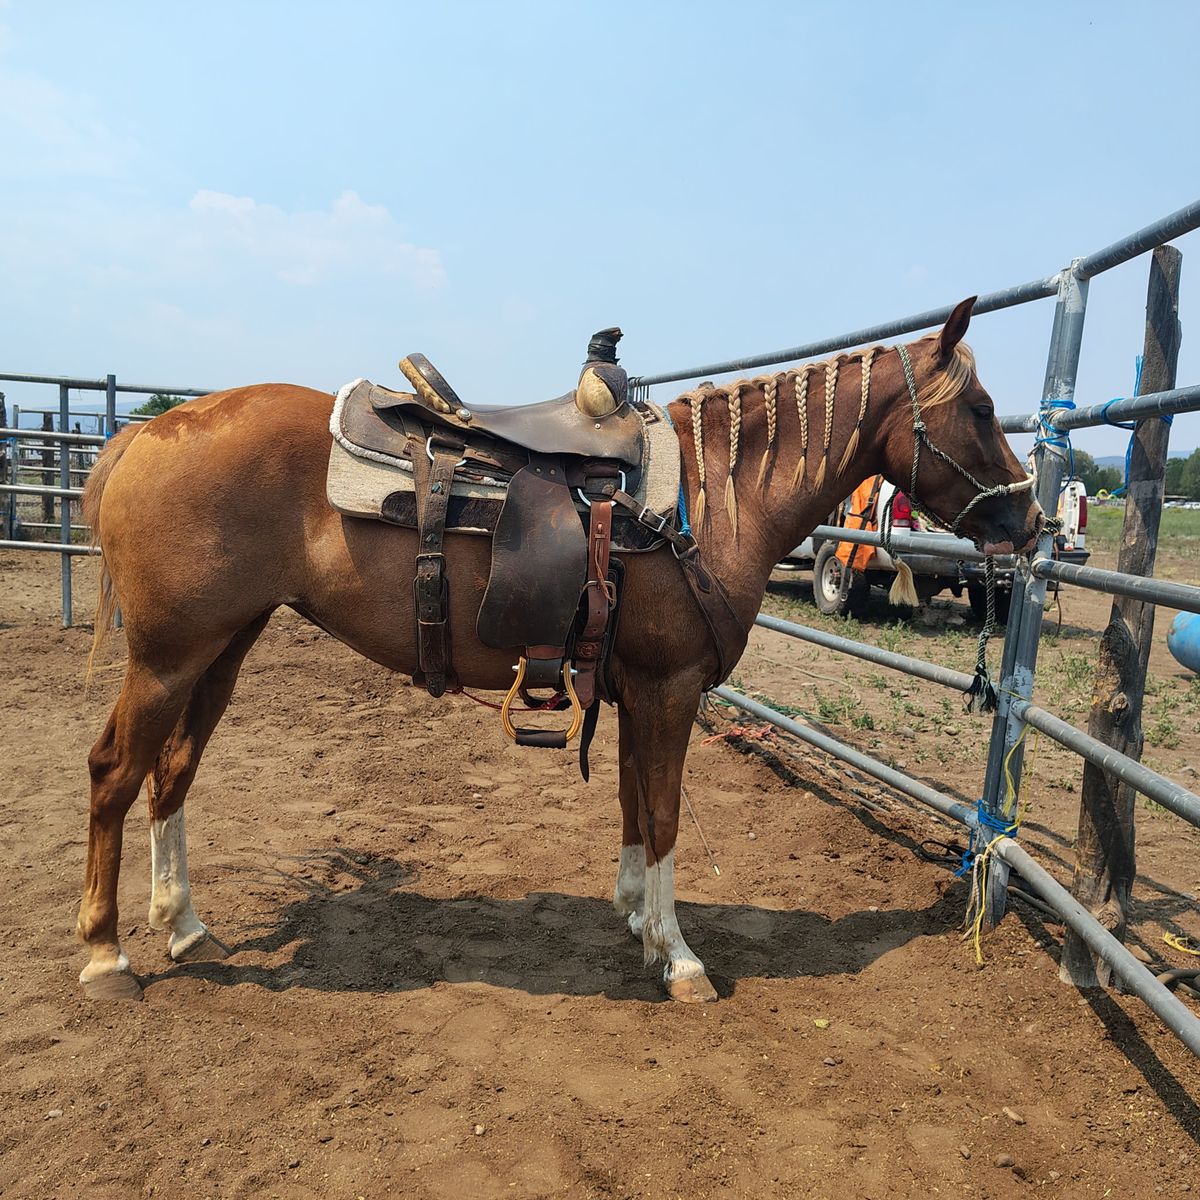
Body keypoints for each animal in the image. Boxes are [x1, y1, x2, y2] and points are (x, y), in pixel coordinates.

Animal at [75, 298, 1042, 1004]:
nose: (1034, 520)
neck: (709, 497)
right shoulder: (670, 690)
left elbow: (631, 804)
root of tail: (145, 432)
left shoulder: (636, 689)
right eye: (983, 409)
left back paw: (183, 924)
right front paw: (679, 958)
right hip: (167, 656)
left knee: (173, 771)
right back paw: (105, 954)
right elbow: (665, 814)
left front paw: (635, 919)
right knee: (116, 771)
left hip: (221, 648)